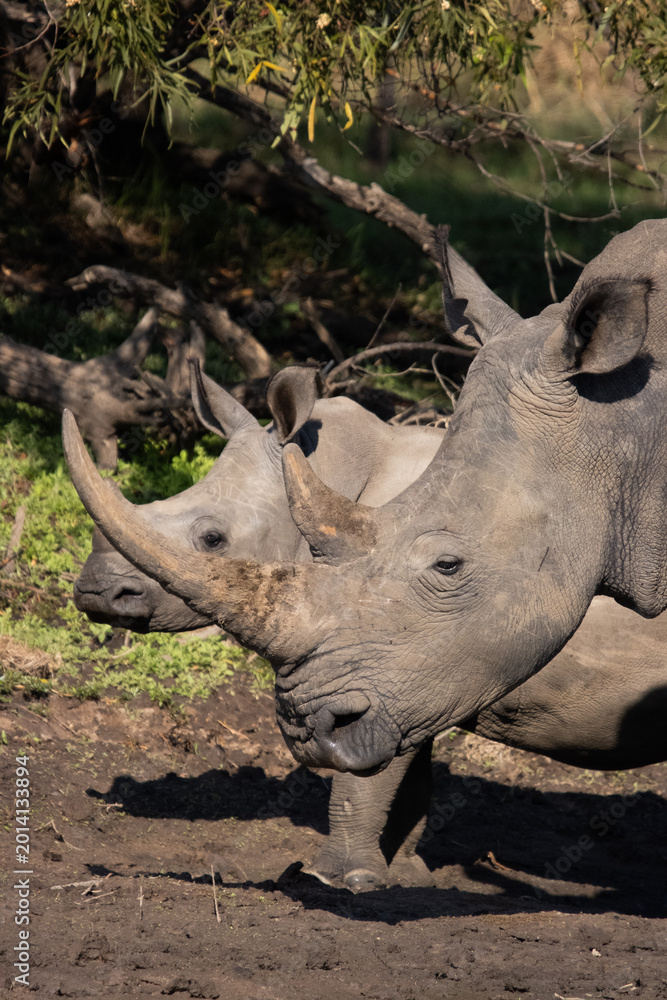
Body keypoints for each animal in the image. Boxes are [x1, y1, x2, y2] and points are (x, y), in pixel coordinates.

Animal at [70, 359, 667, 888]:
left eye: (212, 539)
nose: (95, 593)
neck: (328, 474)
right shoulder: (405, 667)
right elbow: (406, 773)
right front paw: (404, 875)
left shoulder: (396, 654)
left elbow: (362, 780)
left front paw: (337, 879)